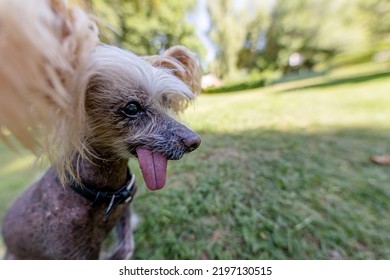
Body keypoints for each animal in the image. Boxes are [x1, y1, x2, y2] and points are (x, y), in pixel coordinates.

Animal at [0, 0, 201, 260]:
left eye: (166, 102)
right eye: (132, 108)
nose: (195, 141)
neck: (107, 195)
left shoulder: (124, 215)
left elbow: (126, 246)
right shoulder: (74, 253)